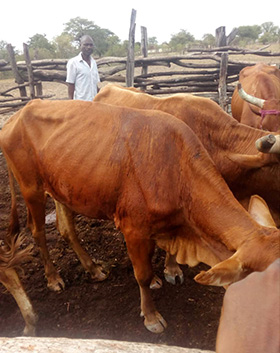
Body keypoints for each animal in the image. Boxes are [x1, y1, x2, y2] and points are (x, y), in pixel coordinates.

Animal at [0, 99, 280, 332]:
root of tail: (18, 114)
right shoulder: (133, 229)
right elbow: (141, 275)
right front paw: (152, 316)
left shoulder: (159, 228)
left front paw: (160, 278)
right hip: (31, 188)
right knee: (38, 232)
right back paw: (53, 278)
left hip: (61, 187)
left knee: (67, 228)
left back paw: (93, 269)